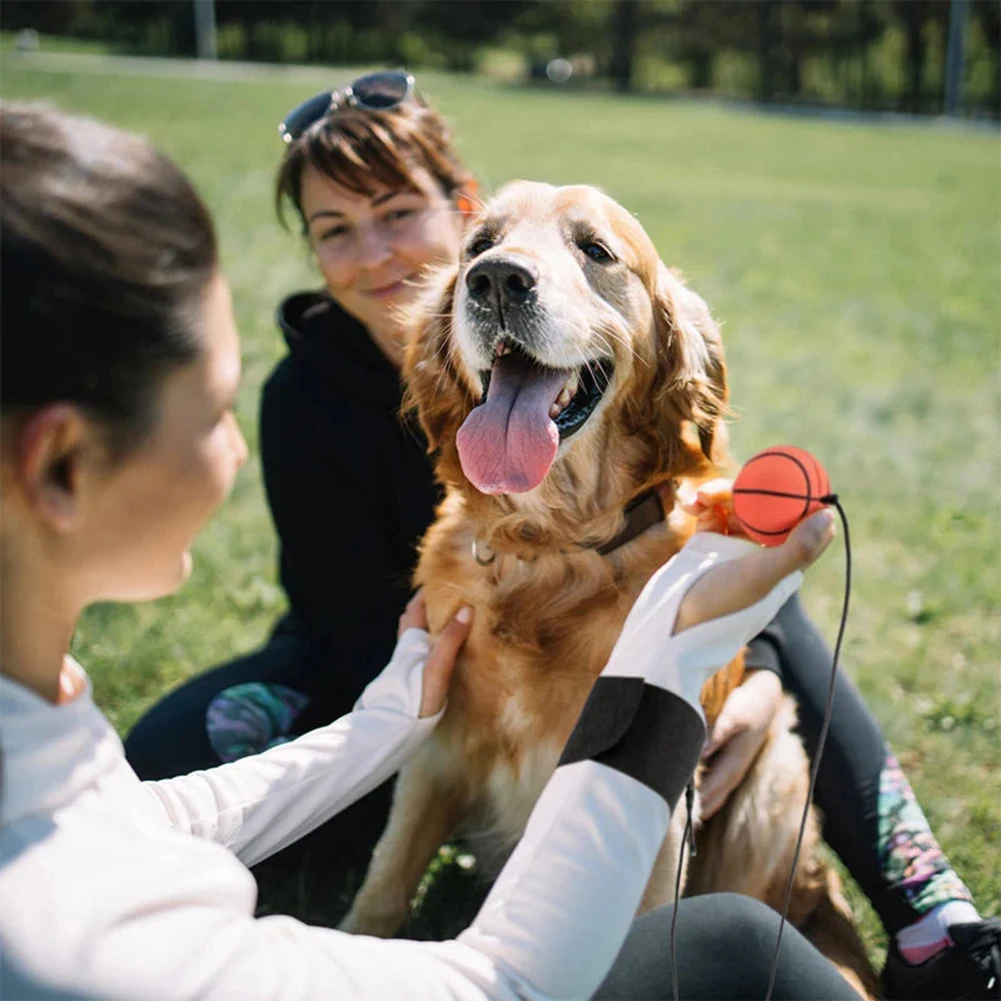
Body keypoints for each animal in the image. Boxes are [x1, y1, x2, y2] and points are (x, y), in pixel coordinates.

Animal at [342, 184, 876, 996]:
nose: (496, 281)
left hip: (776, 775)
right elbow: (383, 885)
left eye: (594, 250)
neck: (551, 550)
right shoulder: (436, 752)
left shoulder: (659, 825)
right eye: (478, 245)